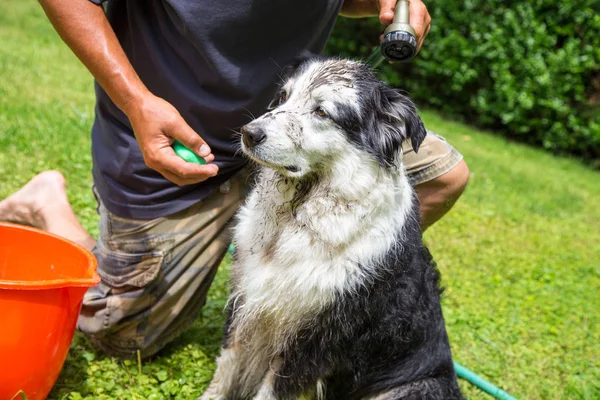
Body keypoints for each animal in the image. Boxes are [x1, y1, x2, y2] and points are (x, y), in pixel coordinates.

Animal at [199, 57, 462, 400]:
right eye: (282, 97)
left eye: (322, 112)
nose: (248, 133)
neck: (296, 214)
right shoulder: (247, 298)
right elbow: (226, 366)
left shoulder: (317, 338)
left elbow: (272, 390)